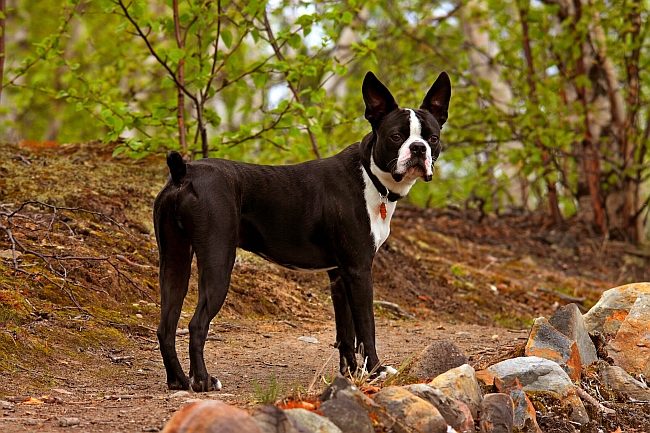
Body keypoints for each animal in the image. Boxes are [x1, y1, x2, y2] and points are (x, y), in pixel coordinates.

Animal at [154, 71, 448, 392]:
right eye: (396, 137)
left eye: (433, 138)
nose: (419, 148)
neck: (370, 175)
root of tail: (183, 173)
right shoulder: (359, 272)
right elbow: (366, 328)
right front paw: (376, 372)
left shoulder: (339, 275)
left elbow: (346, 333)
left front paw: (350, 375)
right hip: (218, 261)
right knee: (197, 324)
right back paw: (203, 381)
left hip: (174, 260)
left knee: (166, 326)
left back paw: (178, 380)